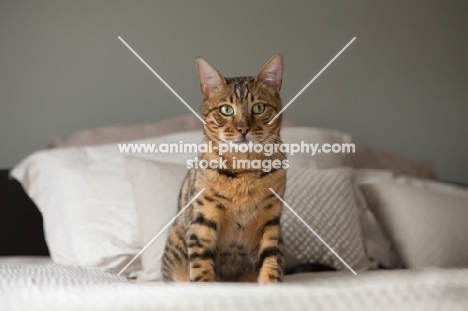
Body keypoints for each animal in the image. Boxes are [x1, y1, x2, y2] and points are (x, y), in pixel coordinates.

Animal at [162, 54, 286, 284]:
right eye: (226, 110)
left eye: (258, 107)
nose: (243, 128)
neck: (245, 170)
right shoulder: (203, 217)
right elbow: (201, 263)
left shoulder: (270, 220)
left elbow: (270, 259)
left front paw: (271, 284)